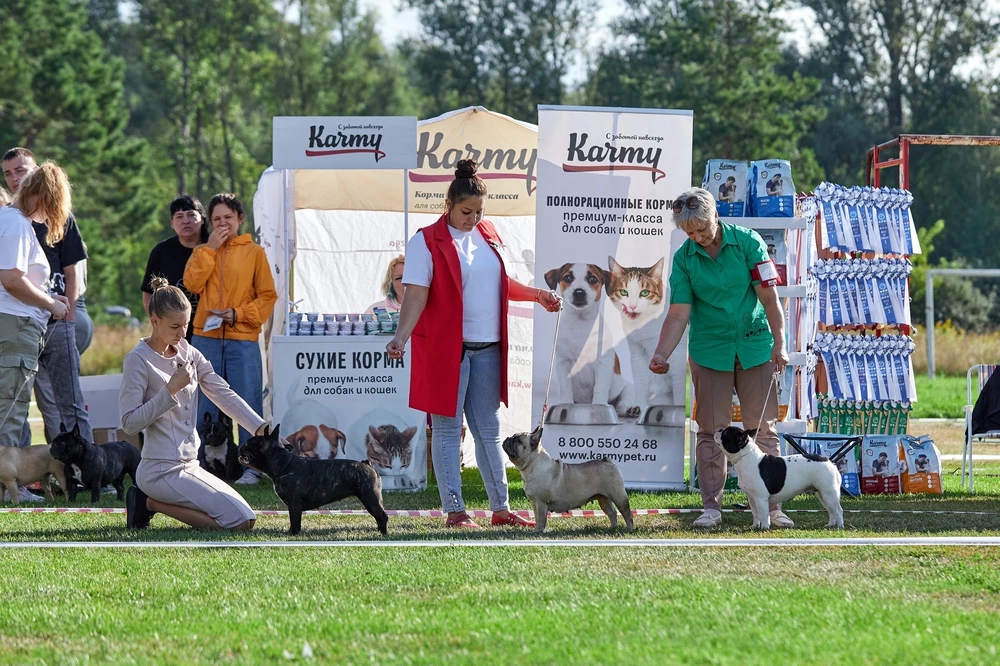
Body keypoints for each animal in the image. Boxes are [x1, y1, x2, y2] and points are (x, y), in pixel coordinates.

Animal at [237, 426, 386, 536]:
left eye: (248, 444)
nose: (241, 446)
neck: (284, 464)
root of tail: (367, 464)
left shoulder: (295, 504)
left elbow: (294, 519)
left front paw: (293, 533)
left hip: (370, 497)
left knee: (382, 515)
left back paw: (383, 534)